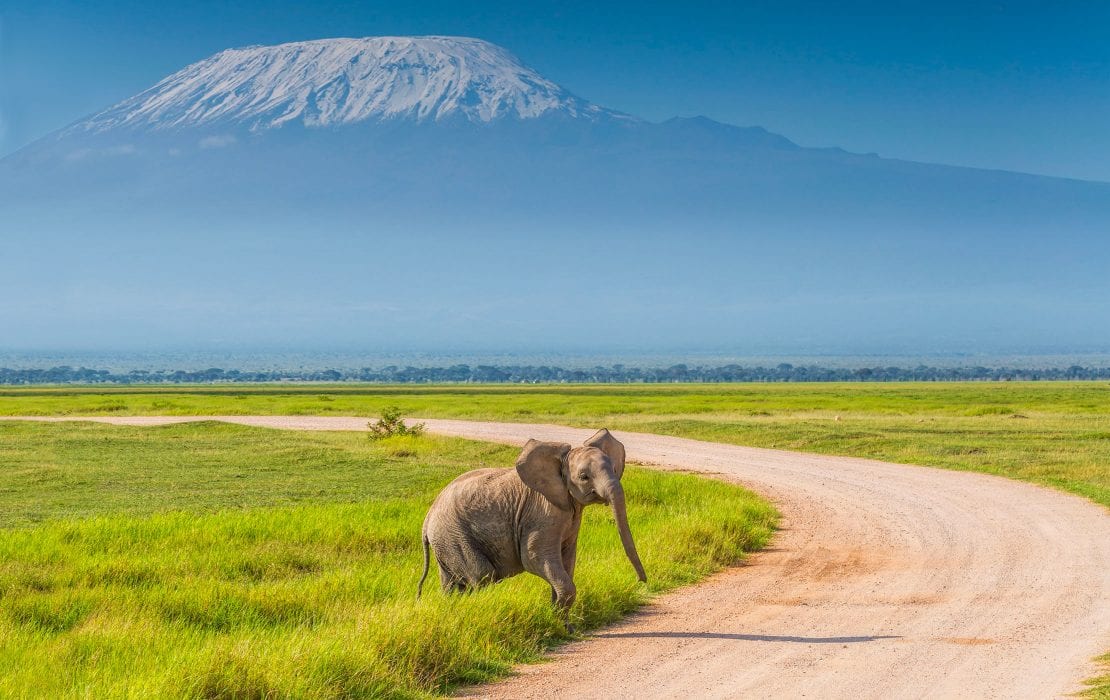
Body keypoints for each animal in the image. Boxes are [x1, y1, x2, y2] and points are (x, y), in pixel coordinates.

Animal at [417, 428, 648, 625]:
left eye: (615, 469)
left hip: (446, 541)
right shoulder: (541, 512)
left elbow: (567, 560)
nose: (641, 581)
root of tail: (427, 520)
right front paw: (557, 623)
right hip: (454, 536)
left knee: (452, 584)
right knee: (482, 576)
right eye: (584, 477)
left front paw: (562, 625)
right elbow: (534, 557)